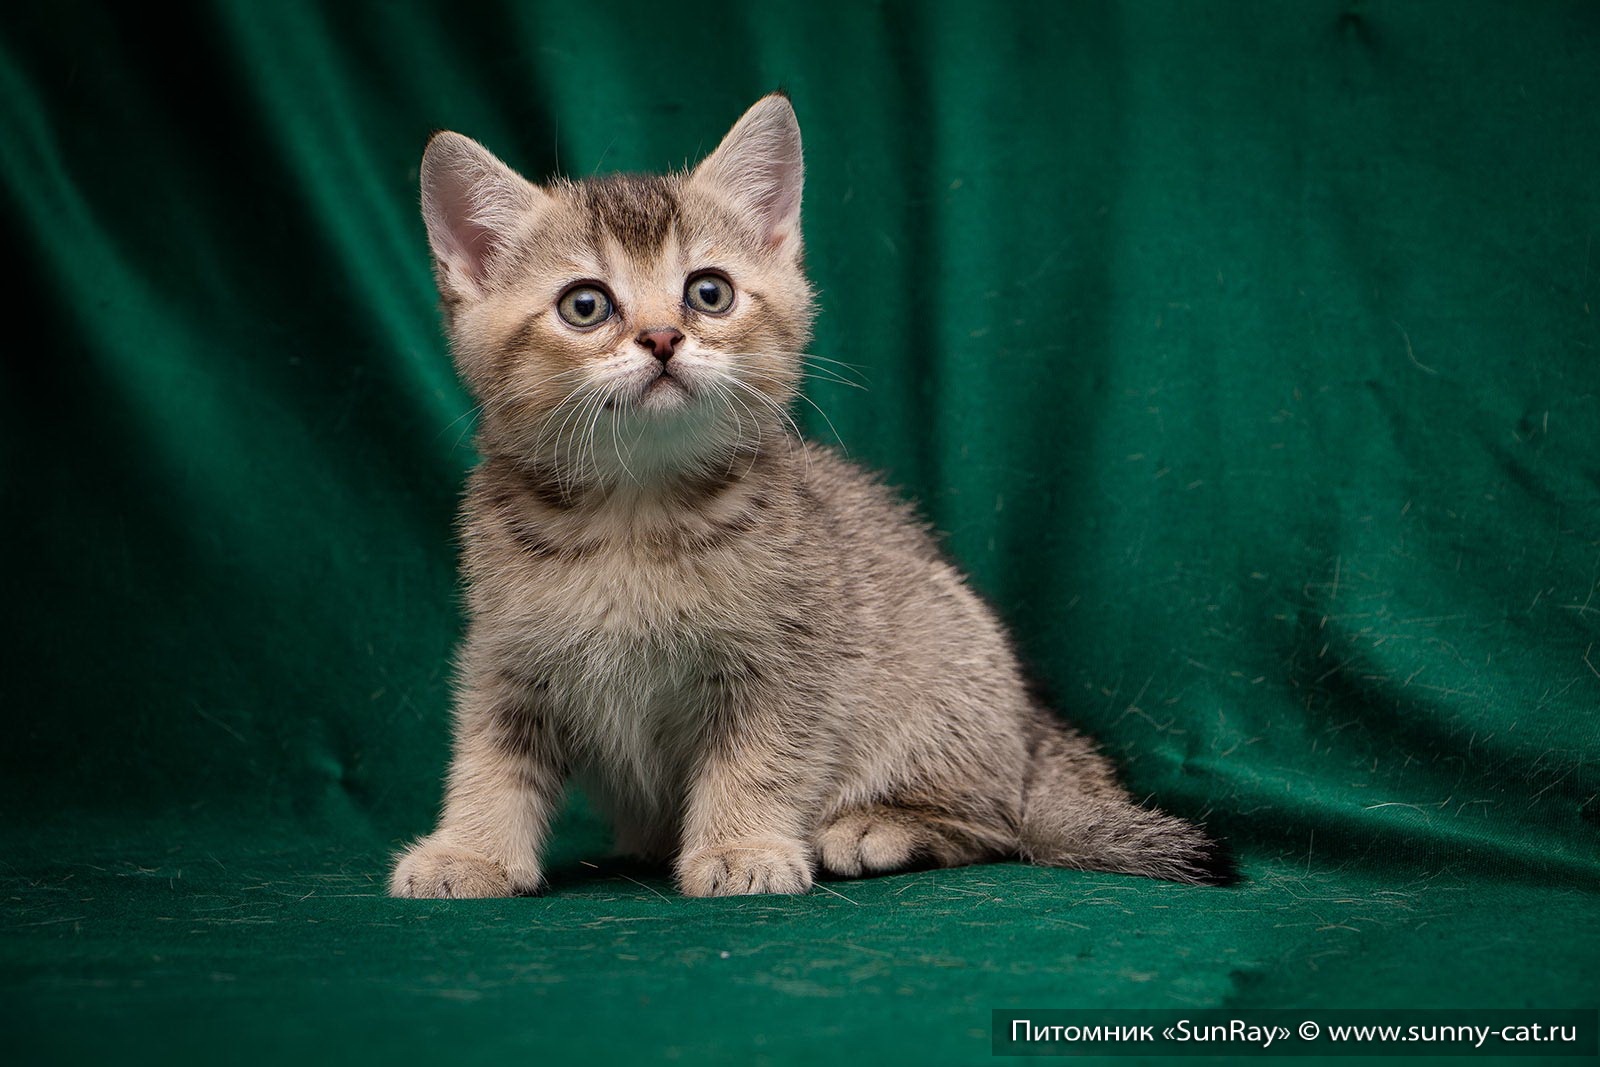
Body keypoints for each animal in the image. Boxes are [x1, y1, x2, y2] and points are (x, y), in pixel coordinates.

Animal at [387, 91, 1222, 895]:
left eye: (709, 292)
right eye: (584, 305)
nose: (662, 338)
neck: (636, 512)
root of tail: (1034, 728)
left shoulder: (787, 662)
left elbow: (760, 759)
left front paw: (743, 846)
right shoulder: (505, 657)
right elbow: (489, 761)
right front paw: (470, 850)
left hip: (948, 666)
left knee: (997, 821)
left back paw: (880, 826)